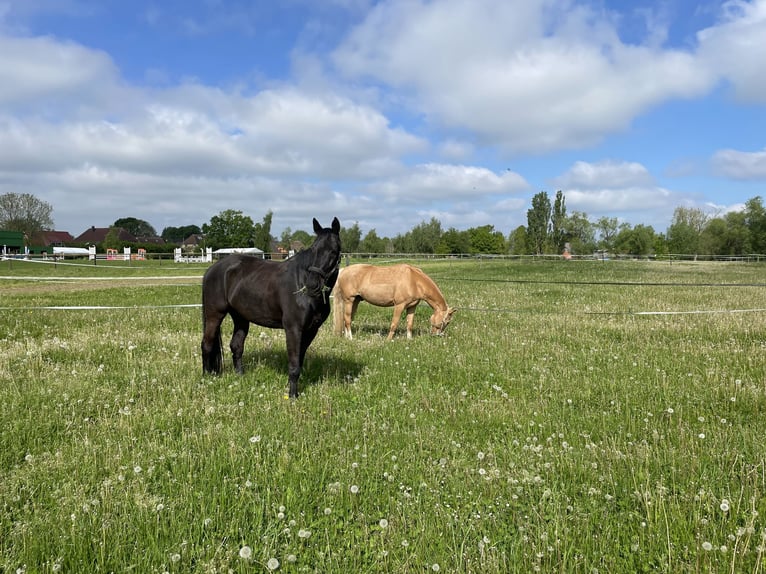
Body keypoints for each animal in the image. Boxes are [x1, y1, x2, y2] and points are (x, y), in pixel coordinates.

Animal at [201, 218, 342, 398]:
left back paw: (240, 376)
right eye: (314, 249)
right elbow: (294, 364)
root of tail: (212, 269)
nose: (312, 284)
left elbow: (299, 361)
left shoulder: (311, 330)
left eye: (333, 251)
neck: (300, 281)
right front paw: (292, 396)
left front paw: (291, 389)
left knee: (236, 346)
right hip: (214, 315)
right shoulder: (293, 329)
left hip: (240, 317)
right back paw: (207, 378)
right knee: (207, 344)